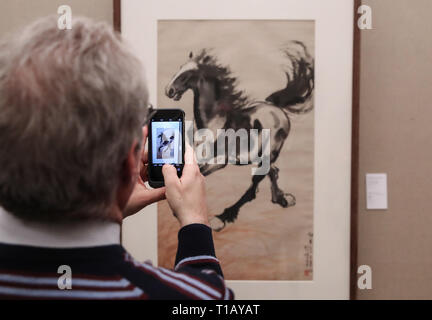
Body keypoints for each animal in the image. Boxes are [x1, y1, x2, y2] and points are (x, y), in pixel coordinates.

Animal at [164, 40, 312, 232]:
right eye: (180, 67)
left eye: (186, 75)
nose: (169, 90)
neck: (214, 122)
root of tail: (275, 107)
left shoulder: (219, 161)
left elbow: (199, 176)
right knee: (273, 172)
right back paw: (281, 199)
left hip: (270, 152)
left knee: (258, 180)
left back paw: (223, 217)